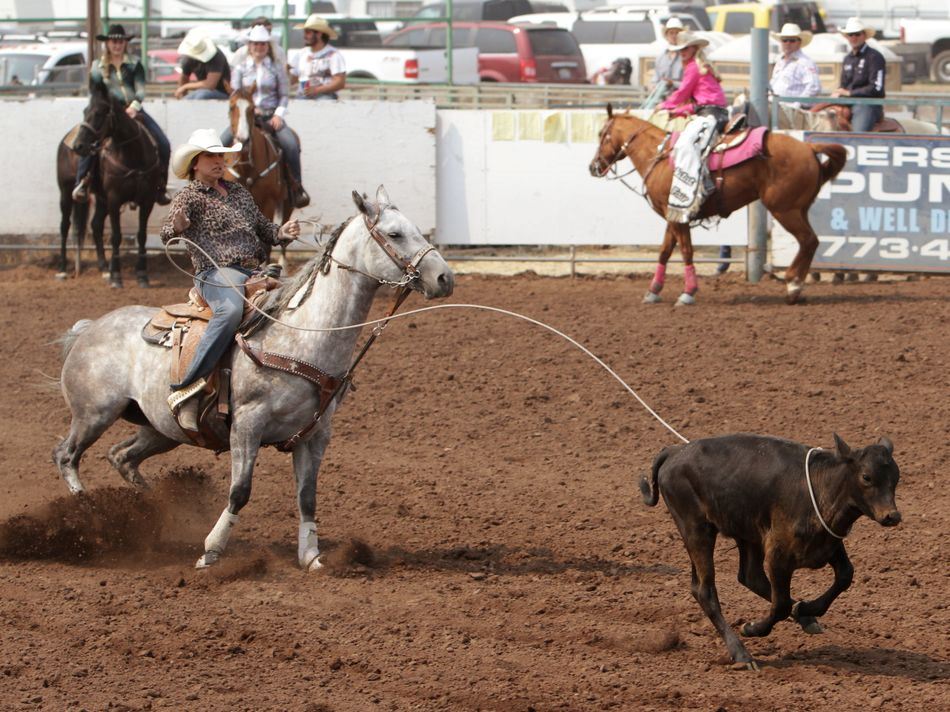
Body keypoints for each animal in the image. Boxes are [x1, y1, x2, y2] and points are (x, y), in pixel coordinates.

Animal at [641, 433, 901, 670]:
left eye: (896, 478)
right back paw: (742, 654)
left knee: (750, 576)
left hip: (747, 534)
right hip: (696, 529)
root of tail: (675, 452)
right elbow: (781, 603)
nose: (892, 516)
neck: (818, 489)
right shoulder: (778, 557)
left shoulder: (830, 543)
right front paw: (753, 628)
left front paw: (805, 608)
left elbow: (845, 575)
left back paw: (805, 618)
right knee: (705, 590)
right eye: (866, 477)